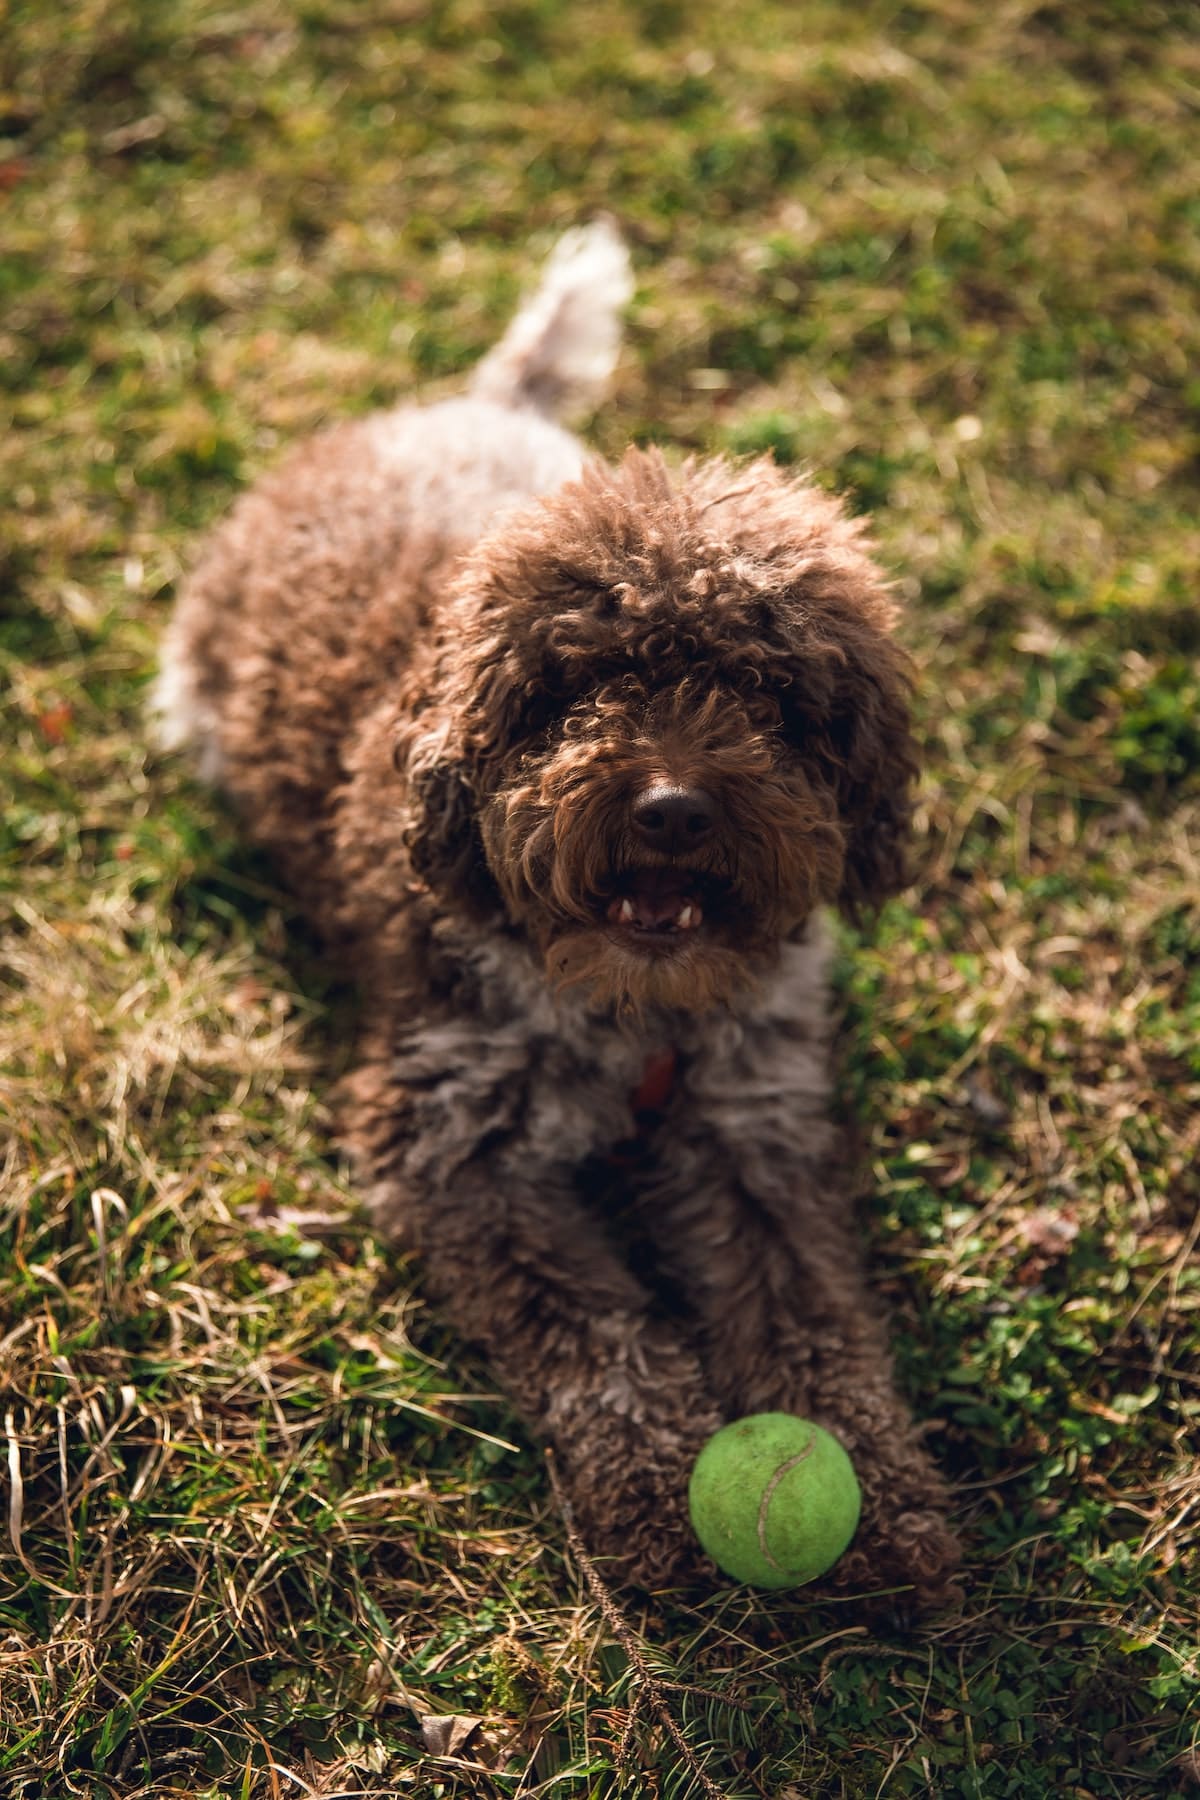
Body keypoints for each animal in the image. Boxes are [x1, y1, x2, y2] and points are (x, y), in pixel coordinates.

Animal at [159, 217, 964, 1612]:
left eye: (769, 694)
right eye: (585, 681)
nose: (672, 810)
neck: (632, 1011)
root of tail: (469, 404)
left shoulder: (756, 1128)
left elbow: (813, 1317)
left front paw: (886, 1509)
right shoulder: (455, 1149)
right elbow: (594, 1335)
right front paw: (653, 1498)